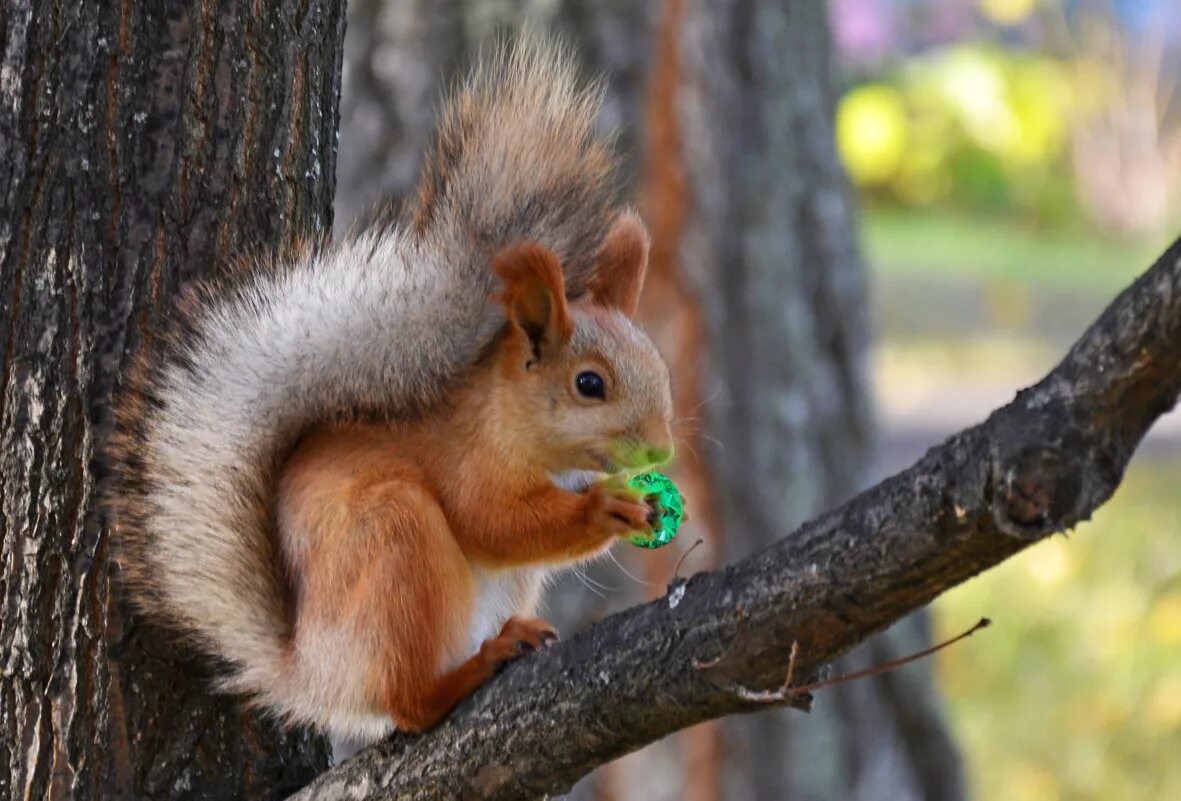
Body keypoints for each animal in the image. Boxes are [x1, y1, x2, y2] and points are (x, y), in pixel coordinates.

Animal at [107, 31, 680, 746]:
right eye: (589, 384)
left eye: (660, 368)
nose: (661, 452)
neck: (506, 416)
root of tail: (313, 673)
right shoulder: (466, 460)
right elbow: (492, 522)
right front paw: (603, 509)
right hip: (396, 544)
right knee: (407, 702)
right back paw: (470, 671)